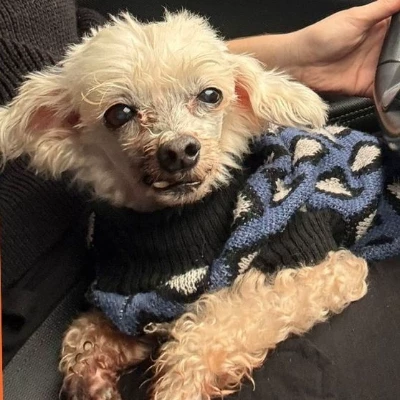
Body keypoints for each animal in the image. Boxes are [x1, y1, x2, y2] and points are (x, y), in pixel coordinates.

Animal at [0, 11, 369, 400]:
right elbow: (85, 333)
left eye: (211, 95)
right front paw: (91, 377)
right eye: (119, 113)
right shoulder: (135, 304)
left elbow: (223, 321)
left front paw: (179, 384)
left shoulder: (323, 269)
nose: (179, 150)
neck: (173, 229)